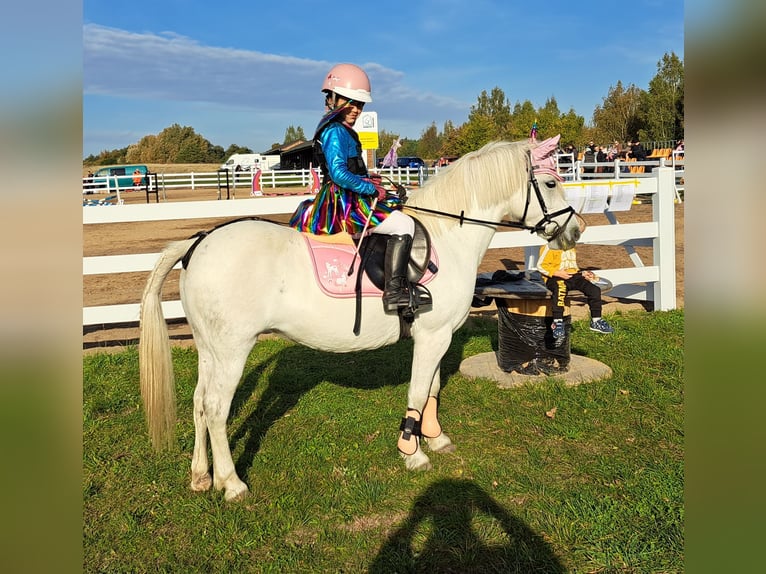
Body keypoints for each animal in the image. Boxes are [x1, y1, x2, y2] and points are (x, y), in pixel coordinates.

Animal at [141, 137, 580, 502]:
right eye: (551, 183)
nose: (576, 230)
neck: (448, 237)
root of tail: (198, 243)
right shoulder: (433, 336)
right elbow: (418, 392)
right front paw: (412, 451)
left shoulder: (437, 336)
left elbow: (433, 388)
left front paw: (434, 438)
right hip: (233, 350)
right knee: (216, 409)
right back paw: (231, 483)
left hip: (209, 349)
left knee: (199, 403)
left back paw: (201, 476)